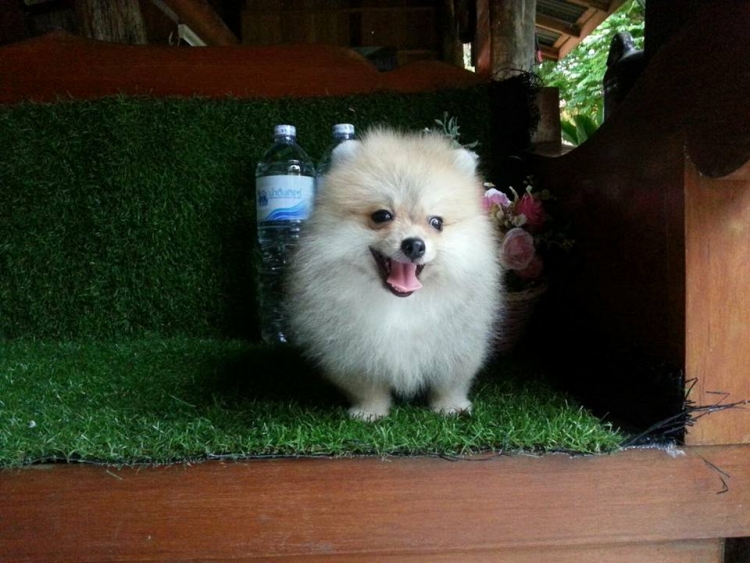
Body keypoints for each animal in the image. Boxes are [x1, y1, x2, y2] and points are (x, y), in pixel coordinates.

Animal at [287, 127, 502, 420]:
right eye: (382, 216)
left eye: (436, 222)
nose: (414, 245)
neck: (401, 305)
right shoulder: (352, 352)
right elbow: (367, 386)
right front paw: (369, 411)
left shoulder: (460, 344)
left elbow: (450, 380)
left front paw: (450, 406)